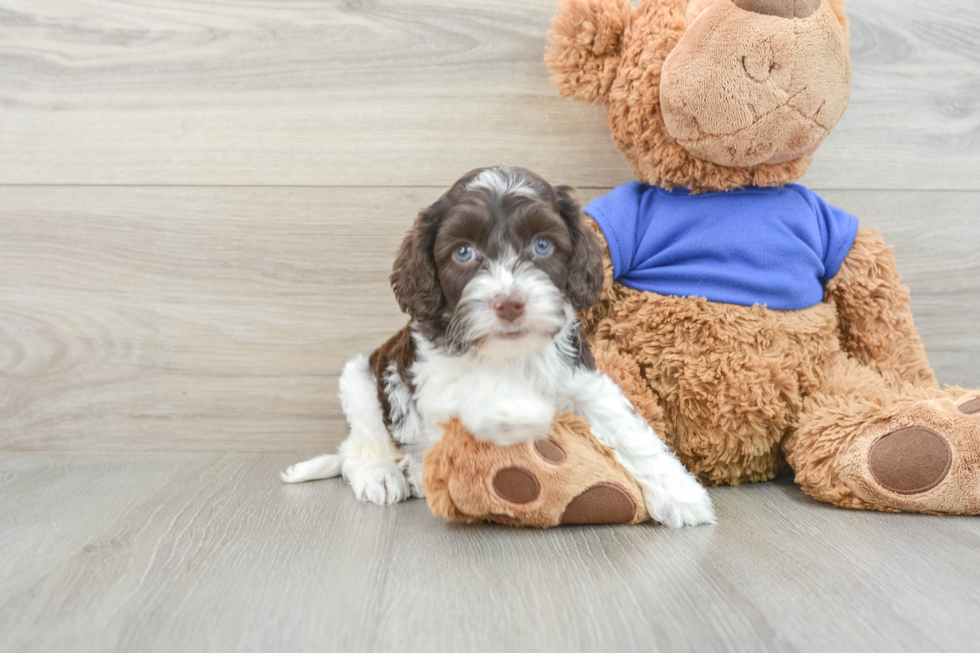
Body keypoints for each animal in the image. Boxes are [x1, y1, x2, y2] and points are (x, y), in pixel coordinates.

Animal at [282, 166, 712, 528]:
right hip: (361, 380)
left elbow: (625, 426)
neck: (510, 353)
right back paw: (386, 474)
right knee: (359, 448)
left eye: (542, 245)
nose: (509, 304)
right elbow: (476, 393)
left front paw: (681, 493)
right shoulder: (433, 374)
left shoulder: (580, 377)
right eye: (463, 252)